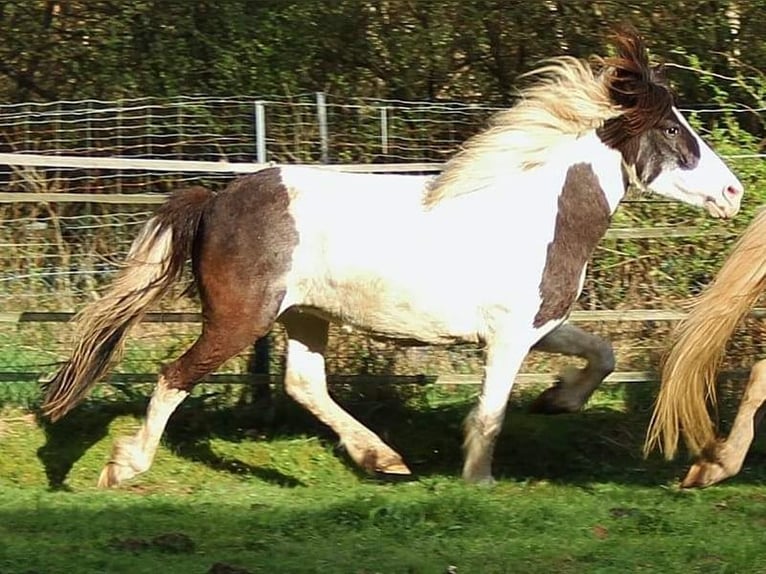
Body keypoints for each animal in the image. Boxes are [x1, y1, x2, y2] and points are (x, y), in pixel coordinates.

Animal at [41, 28, 743, 487]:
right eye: (675, 130)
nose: (734, 193)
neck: (538, 212)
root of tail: (215, 200)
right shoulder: (509, 336)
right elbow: (490, 412)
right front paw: (479, 482)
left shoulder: (539, 324)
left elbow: (604, 352)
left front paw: (557, 402)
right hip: (240, 318)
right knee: (173, 376)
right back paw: (123, 468)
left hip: (305, 316)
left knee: (303, 383)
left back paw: (381, 457)